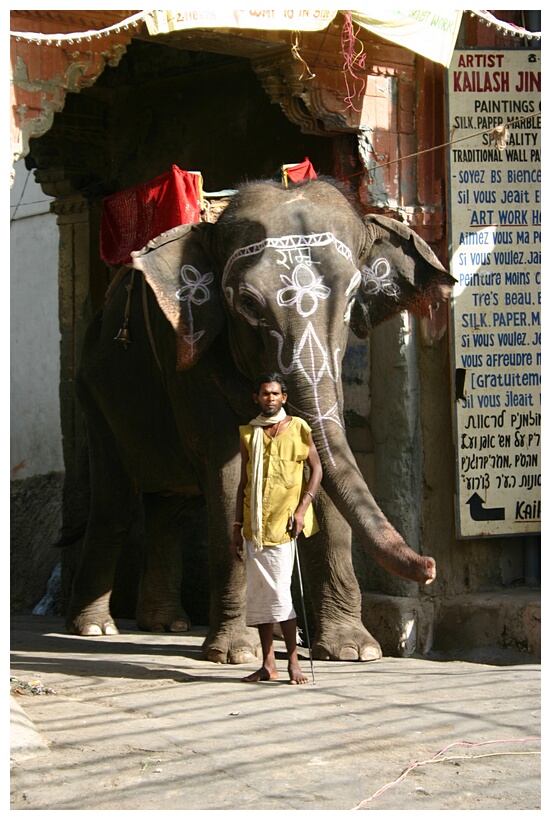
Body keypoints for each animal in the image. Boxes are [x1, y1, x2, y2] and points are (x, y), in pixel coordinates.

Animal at [67, 176, 454, 664]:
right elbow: (230, 475)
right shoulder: (192, 361)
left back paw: (166, 624)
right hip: (95, 396)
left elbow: (322, 462)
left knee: (169, 507)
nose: (431, 566)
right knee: (114, 504)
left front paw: (355, 651)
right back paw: (95, 629)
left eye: (351, 297)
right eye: (249, 303)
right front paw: (236, 654)